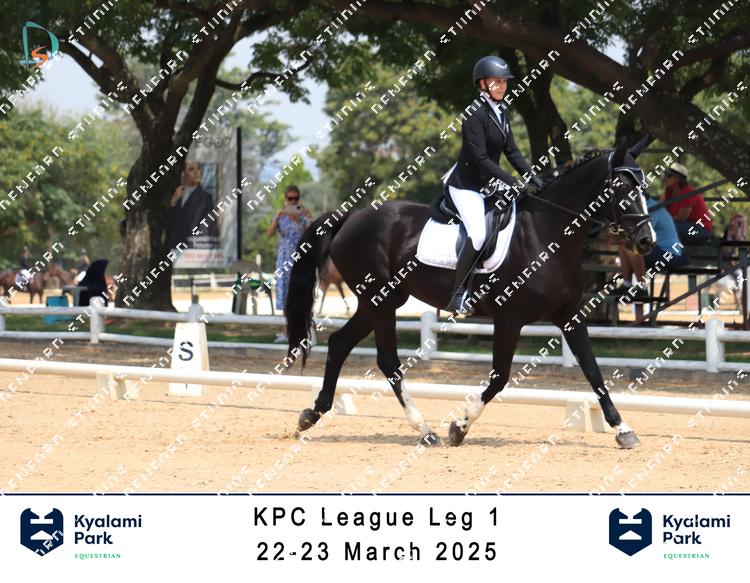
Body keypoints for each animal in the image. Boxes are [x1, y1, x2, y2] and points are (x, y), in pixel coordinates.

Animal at [285, 137, 655, 448]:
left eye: (644, 185)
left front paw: (623, 430)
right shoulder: (508, 319)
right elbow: (500, 378)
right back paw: (426, 430)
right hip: (382, 300)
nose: (646, 241)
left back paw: (311, 415)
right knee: (388, 361)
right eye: (622, 185)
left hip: (378, 301)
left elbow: (593, 371)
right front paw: (458, 427)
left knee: (339, 344)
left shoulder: (569, 316)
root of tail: (350, 217)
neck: (545, 235)